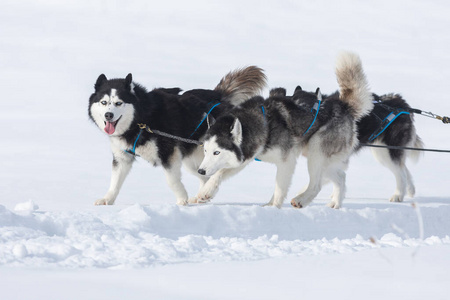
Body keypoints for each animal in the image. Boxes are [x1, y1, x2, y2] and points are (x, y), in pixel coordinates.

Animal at [87, 67, 268, 205]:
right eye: (104, 102)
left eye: (118, 103)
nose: (109, 115)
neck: (141, 118)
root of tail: (219, 96)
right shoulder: (122, 157)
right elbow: (115, 181)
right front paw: (107, 199)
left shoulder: (168, 153)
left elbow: (172, 181)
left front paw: (182, 200)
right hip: (196, 161)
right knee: (204, 175)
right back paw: (202, 196)